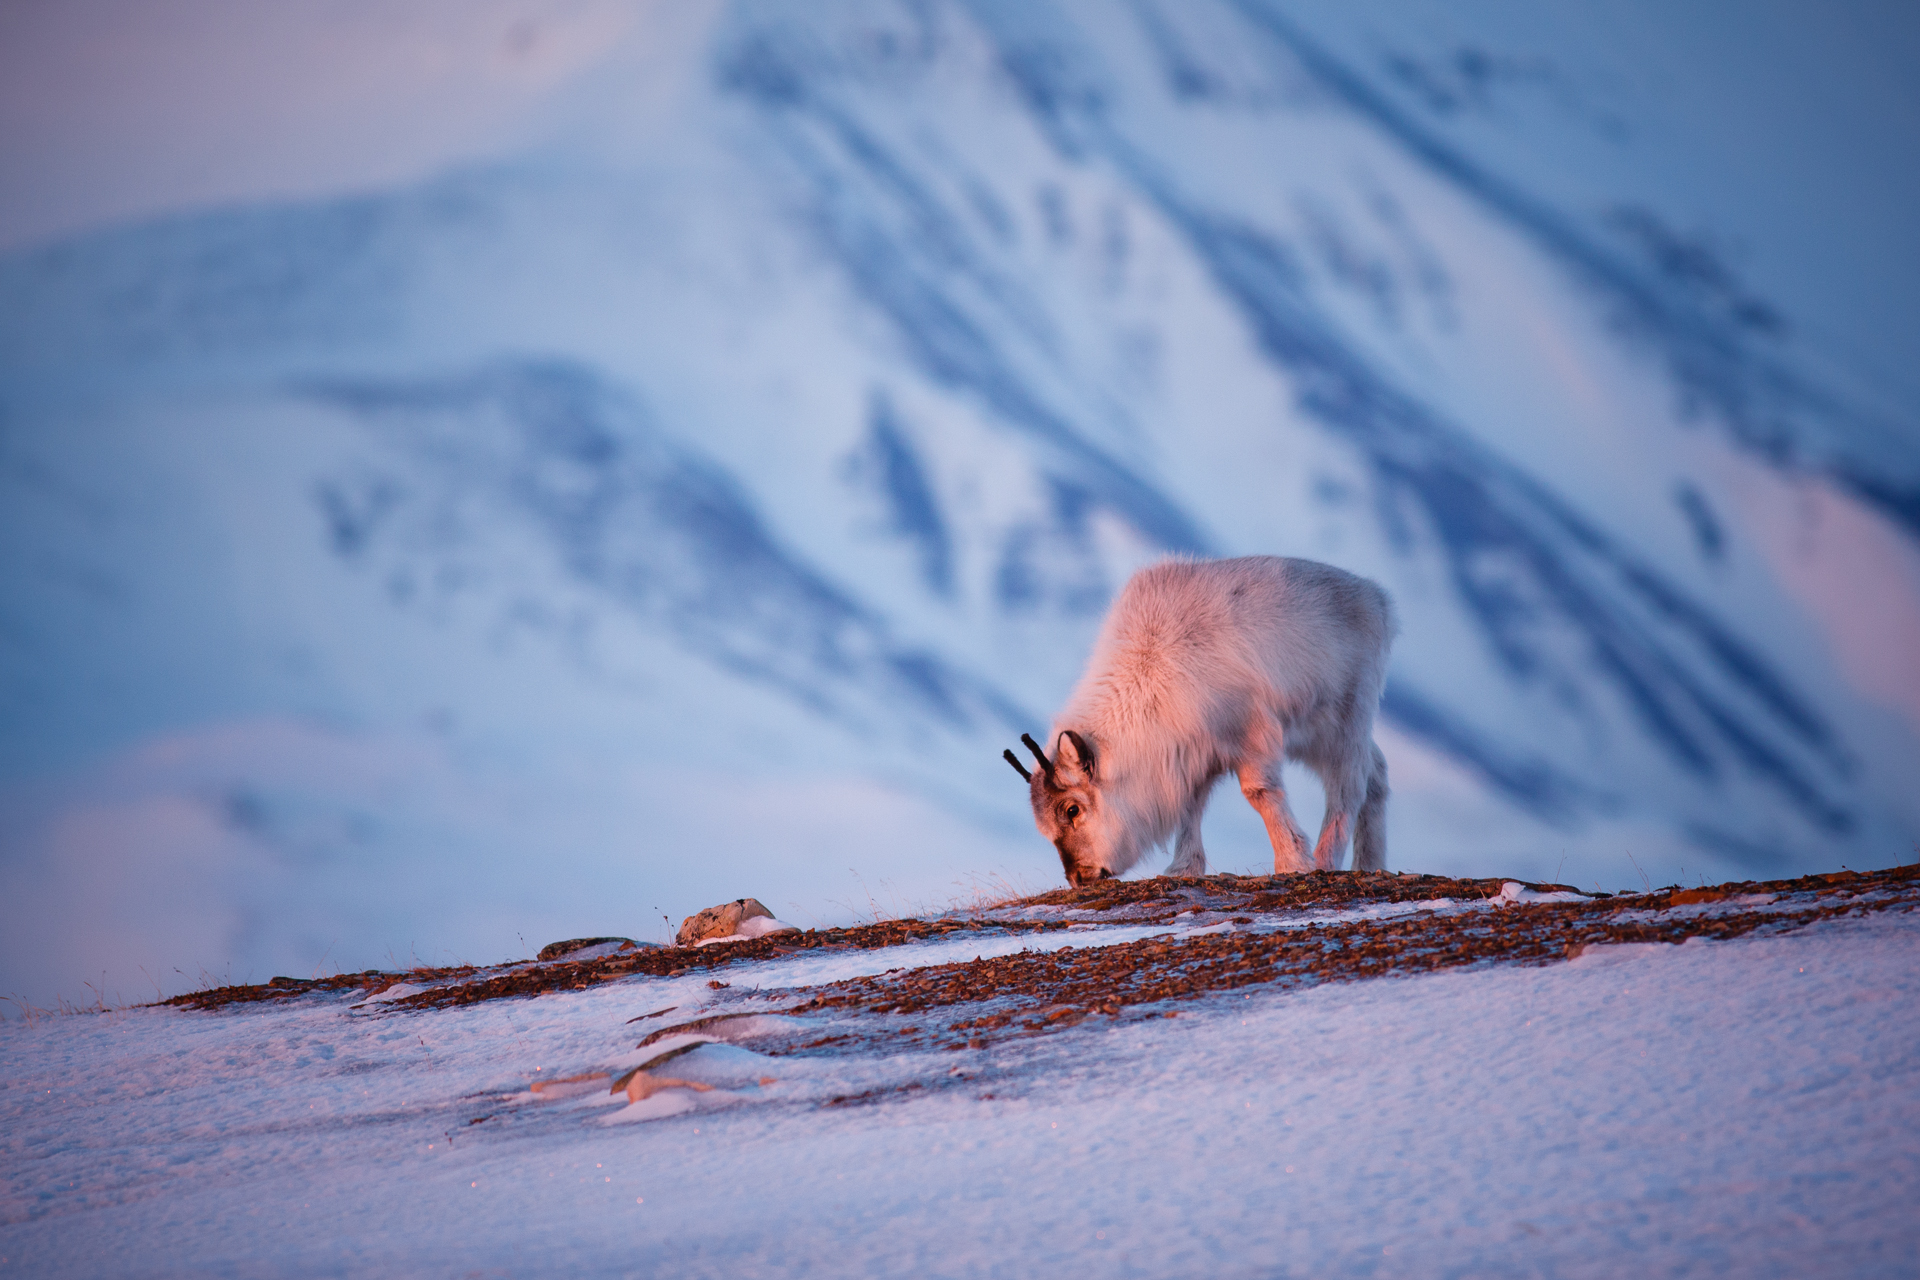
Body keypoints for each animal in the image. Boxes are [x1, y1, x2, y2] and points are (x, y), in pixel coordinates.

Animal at [1004, 556, 1395, 886]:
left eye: (1072, 809)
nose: (1079, 877)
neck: (1149, 672)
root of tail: (1378, 600)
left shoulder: (1250, 735)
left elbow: (1261, 793)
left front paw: (1293, 861)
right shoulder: (1190, 757)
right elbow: (1188, 808)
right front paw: (1183, 868)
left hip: (1345, 720)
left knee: (1349, 785)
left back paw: (1326, 858)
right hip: (1318, 735)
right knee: (1376, 771)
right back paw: (1370, 863)